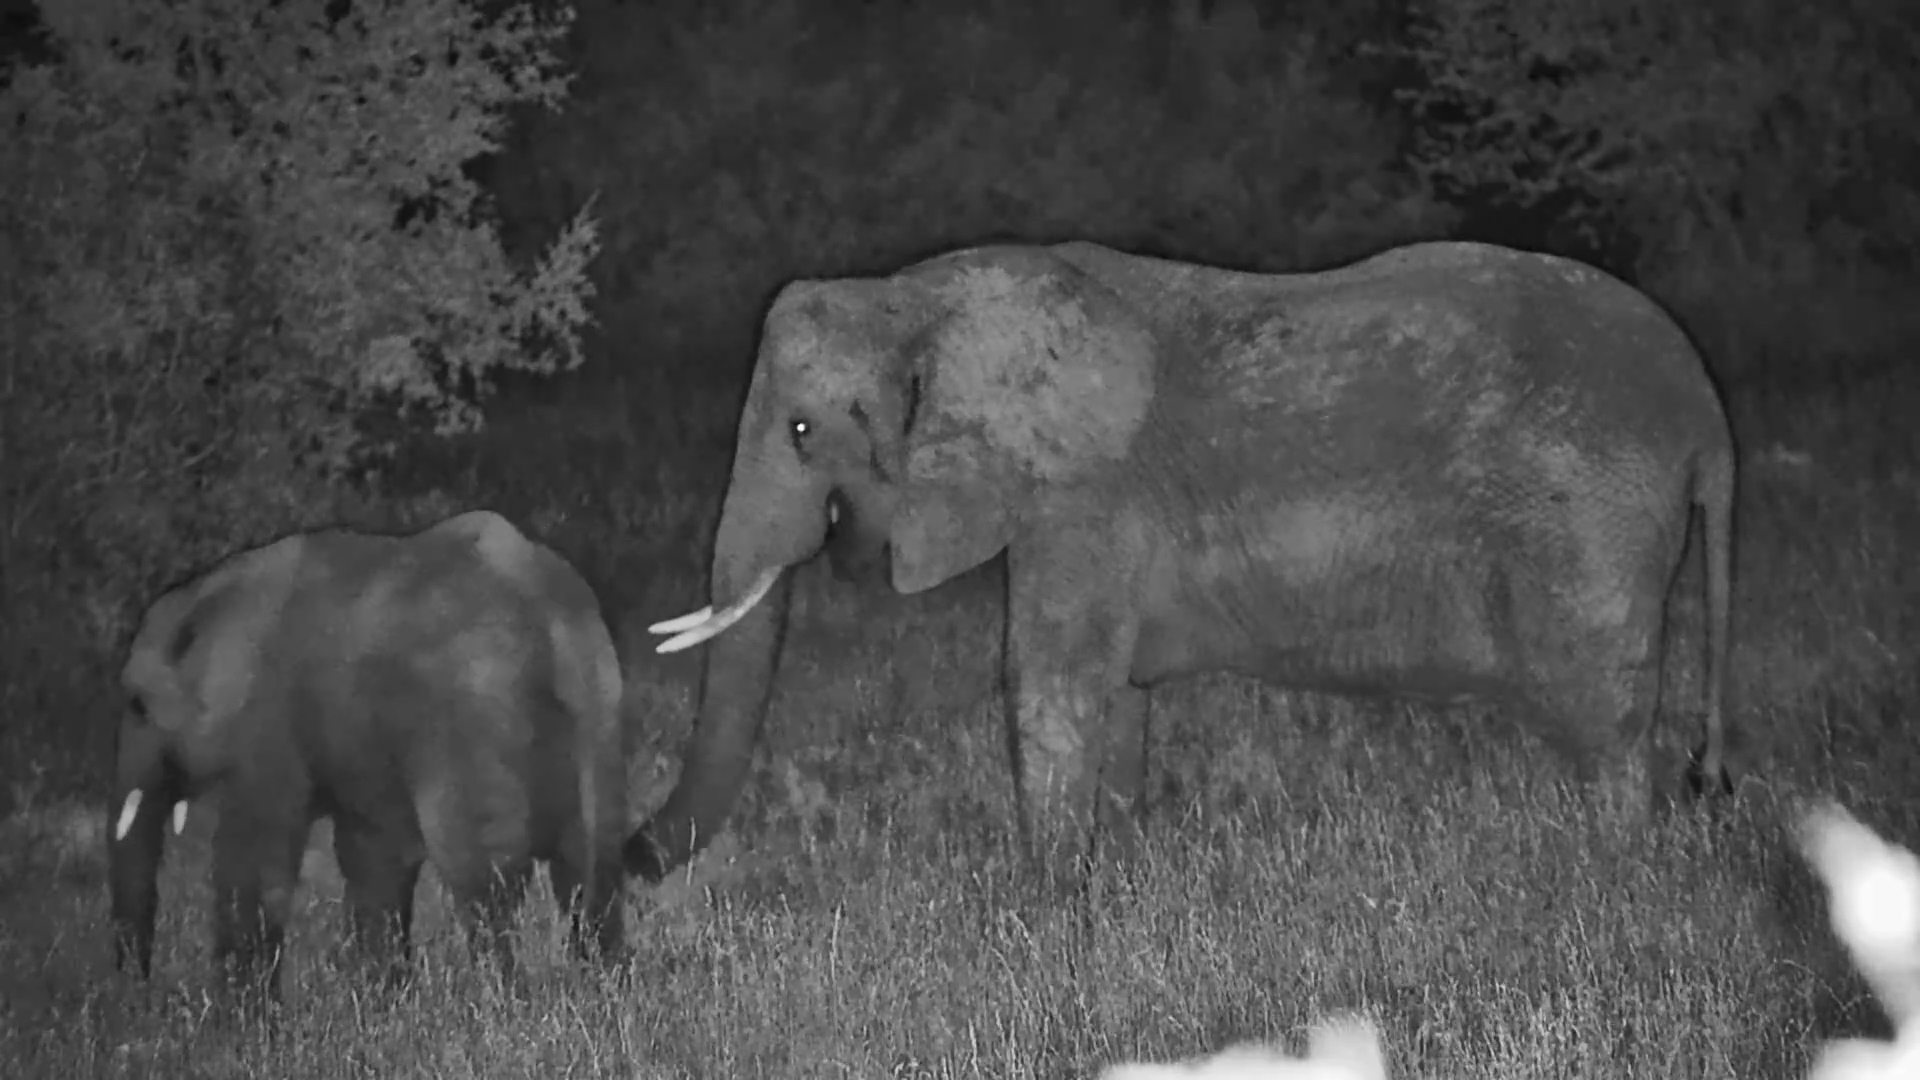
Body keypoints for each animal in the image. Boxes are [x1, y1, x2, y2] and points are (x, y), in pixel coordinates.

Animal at [109, 510, 628, 998]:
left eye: (136, 705)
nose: (136, 997)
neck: (207, 590)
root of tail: (550, 609)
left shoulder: (266, 718)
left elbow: (256, 862)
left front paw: (241, 1017)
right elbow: (373, 861)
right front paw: (385, 1000)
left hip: (472, 726)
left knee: (485, 880)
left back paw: (502, 1005)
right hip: (599, 716)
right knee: (589, 873)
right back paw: (602, 990)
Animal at [629, 238, 1736, 878]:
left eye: (802, 431)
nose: (627, 858)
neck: (918, 297)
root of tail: (1708, 417)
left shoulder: (1081, 493)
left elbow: (1048, 685)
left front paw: (1040, 908)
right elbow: (1111, 697)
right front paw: (1108, 880)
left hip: (1589, 521)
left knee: (1604, 720)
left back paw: (1611, 873)